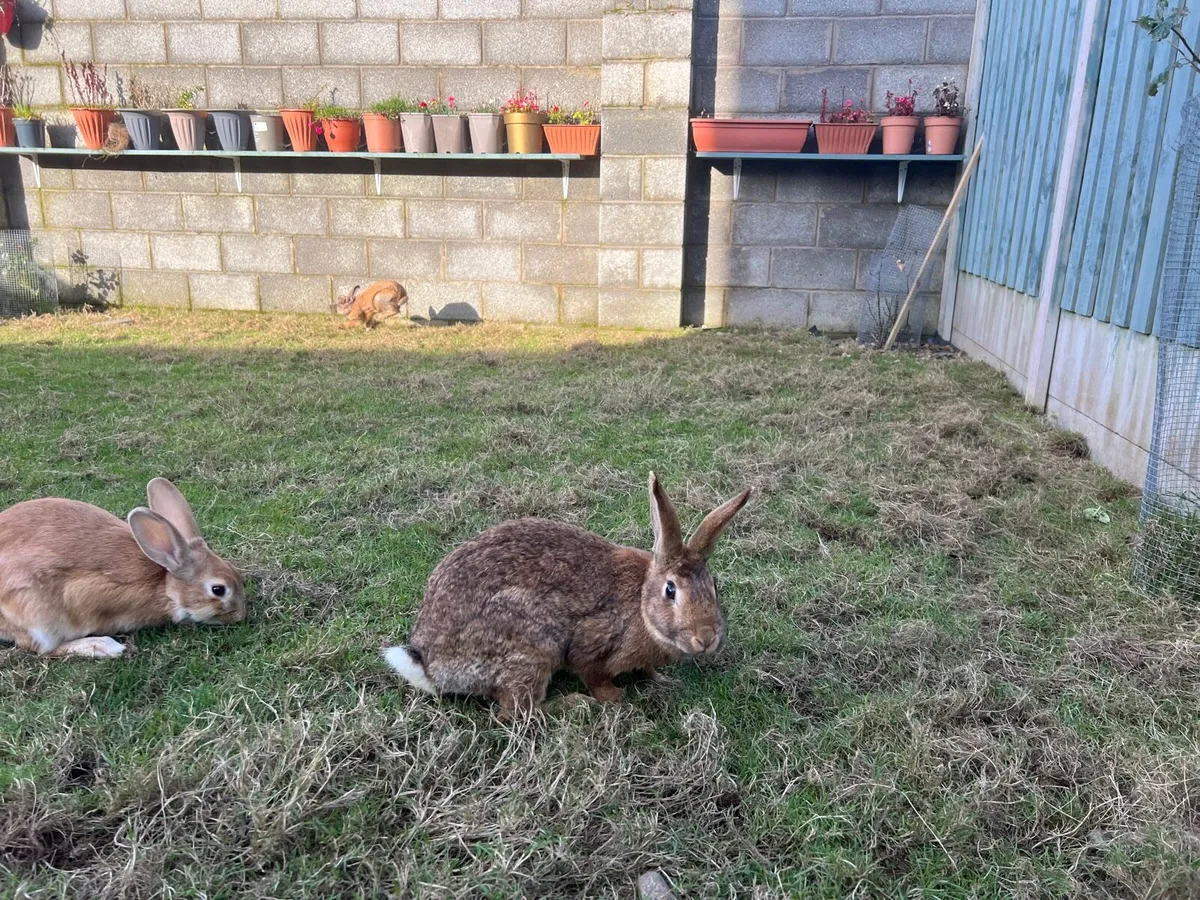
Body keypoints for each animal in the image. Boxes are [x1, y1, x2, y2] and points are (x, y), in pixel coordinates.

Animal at [0, 478, 246, 659]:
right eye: (218, 590)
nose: (241, 615)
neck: (166, 587)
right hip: (36, 616)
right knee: (41, 648)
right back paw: (103, 647)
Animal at [383, 474, 751, 713]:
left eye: (713, 585)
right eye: (670, 590)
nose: (706, 638)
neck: (642, 607)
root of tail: (432, 666)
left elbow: (647, 670)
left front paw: (661, 681)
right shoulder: (591, 644)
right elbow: (592, 674)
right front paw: (614, 698)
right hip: (533, 646)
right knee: (517, 712)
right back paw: (573, 705)